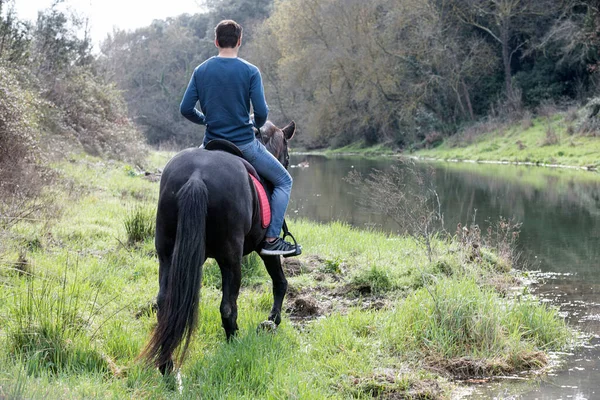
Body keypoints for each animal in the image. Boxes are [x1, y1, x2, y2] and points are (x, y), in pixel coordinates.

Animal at [137, 120, 296, 374]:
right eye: (288, 156)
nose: (286, 164)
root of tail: (197, 176)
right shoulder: (266, 249)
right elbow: (280, 282)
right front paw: (273, 320)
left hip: (167, 254)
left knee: (164, 303)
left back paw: (166, 365)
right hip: (231, 259)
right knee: (228, 307)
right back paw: (234, 345)